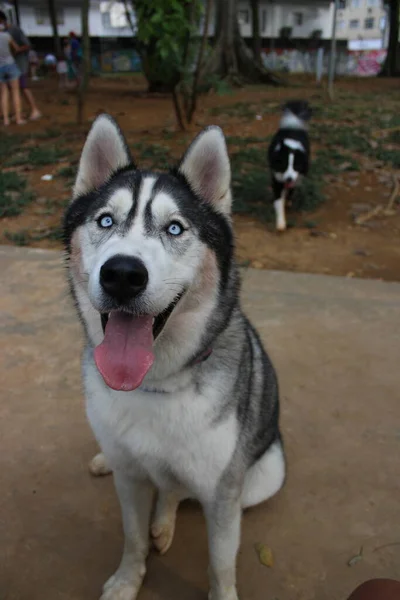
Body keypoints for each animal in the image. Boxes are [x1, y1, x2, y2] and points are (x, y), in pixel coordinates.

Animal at [64, 116, 286, 600]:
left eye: (175, 229)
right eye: (105, 220)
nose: (122, 274)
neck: (154, 384)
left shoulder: (222, 496)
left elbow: (220, 566)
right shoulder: (130, 481)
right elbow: (131, 538)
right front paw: (128, 580)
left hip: (264, 475)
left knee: (177, 490)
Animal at [268, 99, 312, 231]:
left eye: (296, 166)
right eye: (283, 165)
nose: (288, 178)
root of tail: (293, 124)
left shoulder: (296, 178)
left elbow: (291, 190)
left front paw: (287, 202)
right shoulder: (277, 178)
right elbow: (278, 201)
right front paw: (281, 223)